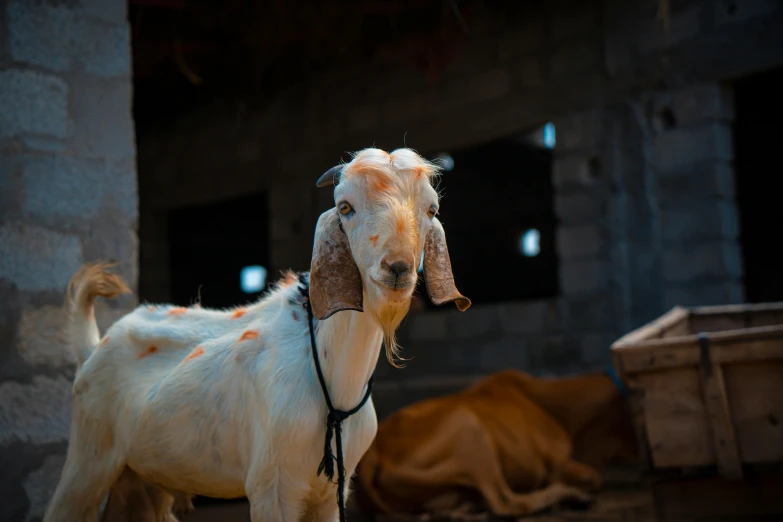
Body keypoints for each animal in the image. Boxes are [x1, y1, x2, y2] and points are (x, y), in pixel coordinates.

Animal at [46, 147, 468, 520]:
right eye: (345, 207)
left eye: (431, 210)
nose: (396, 268)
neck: (335, 383)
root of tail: (95, 345)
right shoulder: (270, 488)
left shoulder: (332, 495)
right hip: (88, 457)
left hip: (143, 478)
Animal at [352, 368, 640, 512]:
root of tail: (375, 451)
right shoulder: (558, 462)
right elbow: (593, 477)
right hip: (470, 431)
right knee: (508, 504)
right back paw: (572, 496)